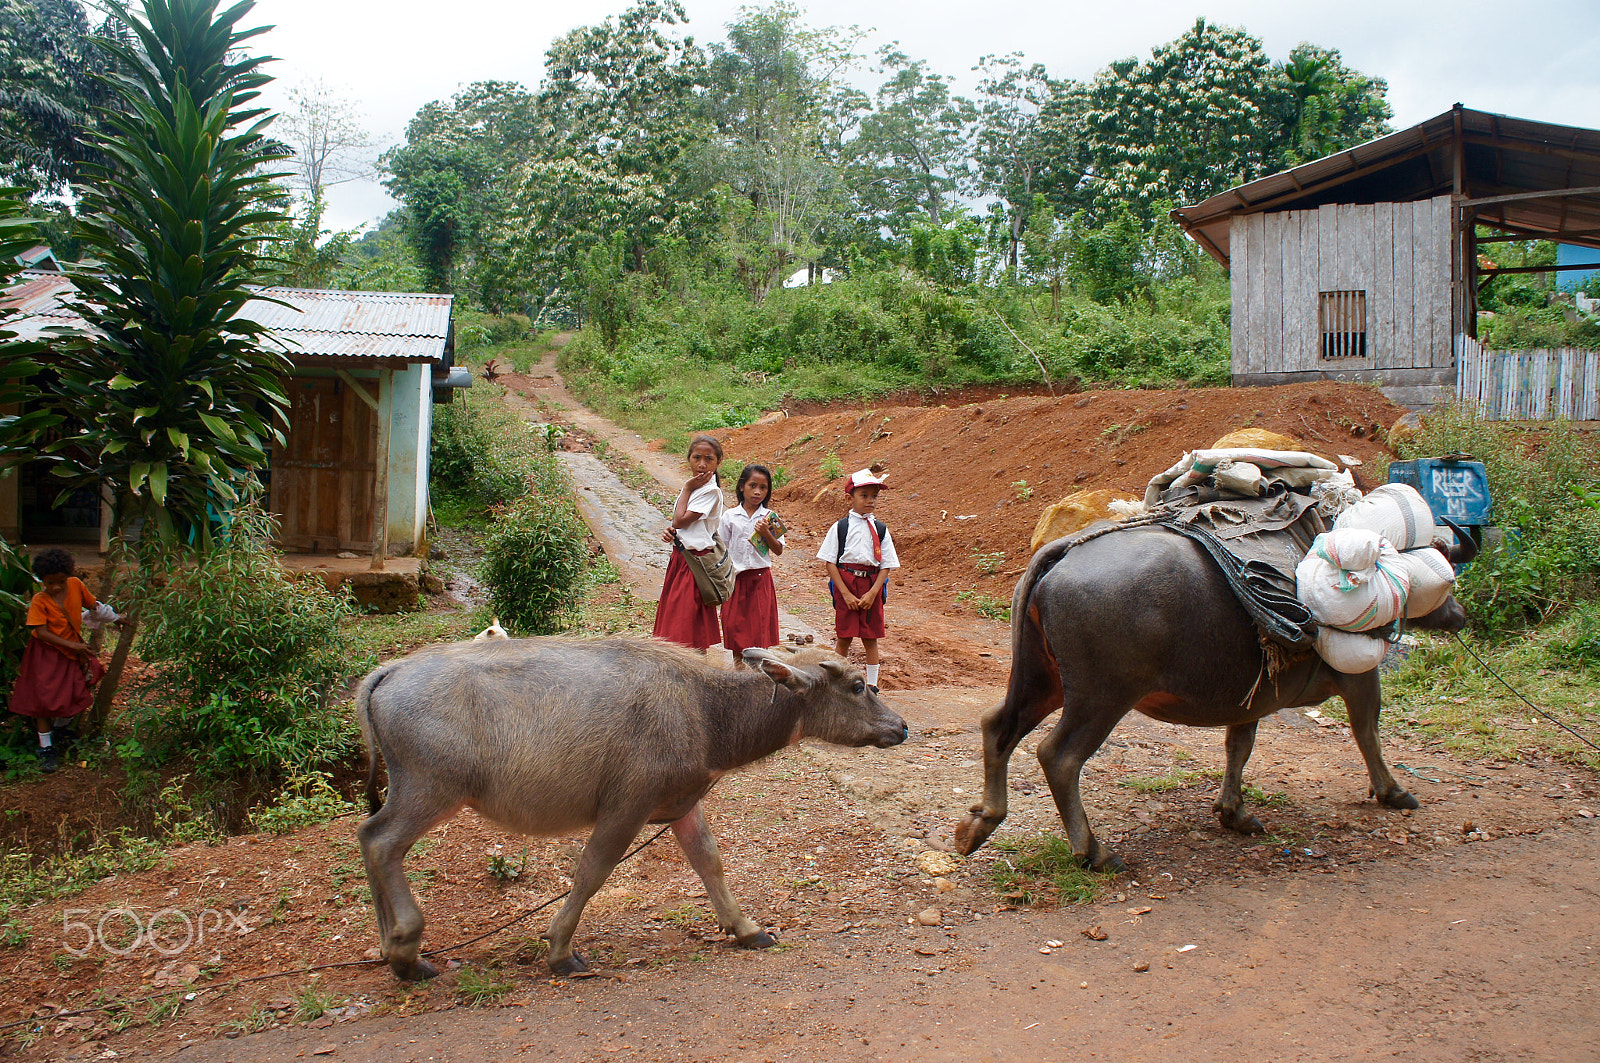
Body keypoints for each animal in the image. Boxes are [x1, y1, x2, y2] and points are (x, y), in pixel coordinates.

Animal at [358, 640, 908, 979]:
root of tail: (387, 672)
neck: (706, 713)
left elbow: (709, 861)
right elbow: (593, 871)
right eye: (858, 685)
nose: (901, 726)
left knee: (368, 836)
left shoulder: (683, 804)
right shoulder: (628, 805)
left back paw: (391, 948)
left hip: (413, 790)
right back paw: (407, 951)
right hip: (430, 790)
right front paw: (560, 951)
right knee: (383, 842)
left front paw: (747, 929)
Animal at [947, 518, 1472, 870]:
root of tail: (1066, 551)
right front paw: (1393, 791)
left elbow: (1239, 746)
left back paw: (980, 822)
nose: (1460, 615)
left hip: (1043, 678)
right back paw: (1093, 851)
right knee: (1058, 755)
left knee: (998, 726)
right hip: (1101, 696)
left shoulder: (1252, 698)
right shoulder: (1360, 677)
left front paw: (1234, 813)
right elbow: (1368, 733)